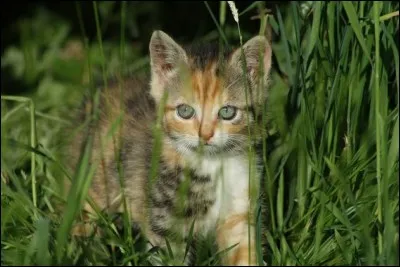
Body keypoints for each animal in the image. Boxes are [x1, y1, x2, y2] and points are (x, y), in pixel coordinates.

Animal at [65, 30, 272, 266]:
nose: (205, 134)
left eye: (227, 112)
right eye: (185, 111)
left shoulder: (240, 212)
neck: (213, 164)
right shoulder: (166, 224)